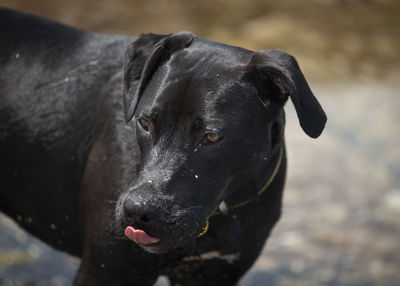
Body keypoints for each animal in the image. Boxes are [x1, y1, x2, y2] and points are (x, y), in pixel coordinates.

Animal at [0, 7, 324, 284]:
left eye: (212, 137)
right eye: (144, 123)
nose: (138, 211)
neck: (222, 213)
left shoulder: (213, 275)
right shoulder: (107, 270)